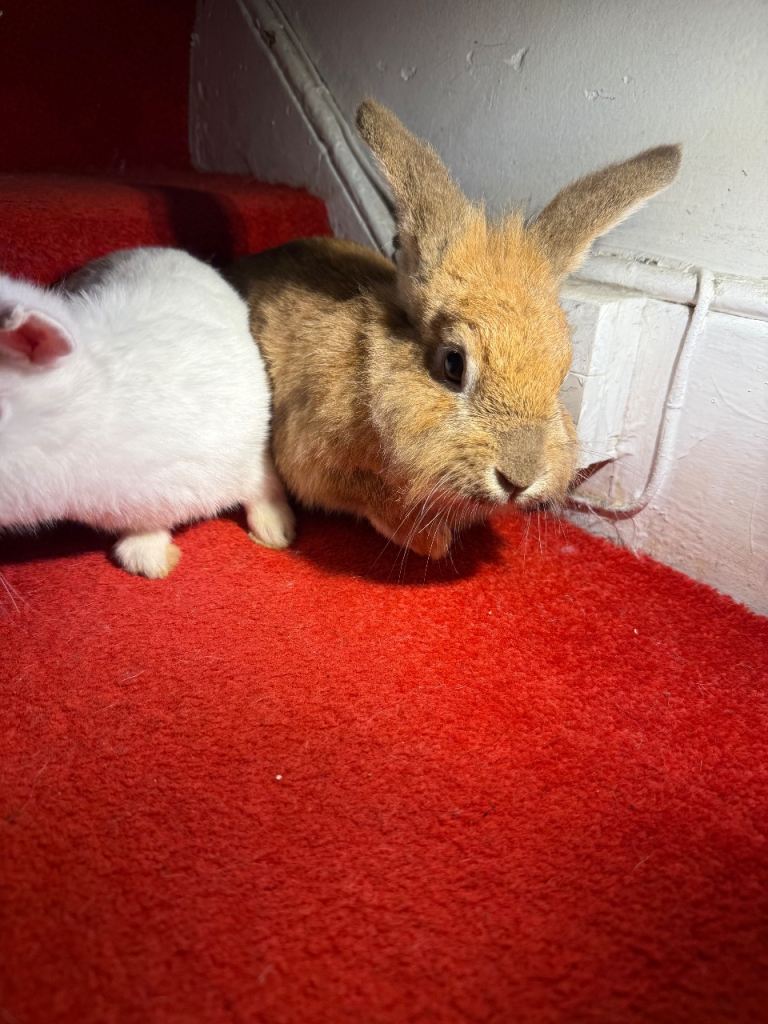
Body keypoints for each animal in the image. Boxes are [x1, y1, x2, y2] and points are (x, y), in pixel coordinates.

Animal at [227, 100, 681, 560]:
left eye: (561, 375)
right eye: (453, 364)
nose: (518, 479)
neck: (367, 378)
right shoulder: (313, 459)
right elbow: (370, 497)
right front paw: (431, 540)